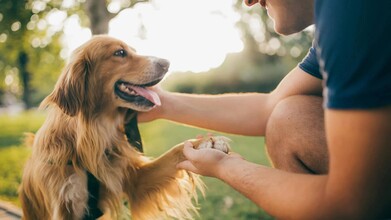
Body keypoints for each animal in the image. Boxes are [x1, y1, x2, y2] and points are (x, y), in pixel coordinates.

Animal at [18, 35, 231, 219]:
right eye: (120, 53)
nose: (167, 63)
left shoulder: (134, 179)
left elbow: (175, 151)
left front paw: (207, 143)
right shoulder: (64, 205)